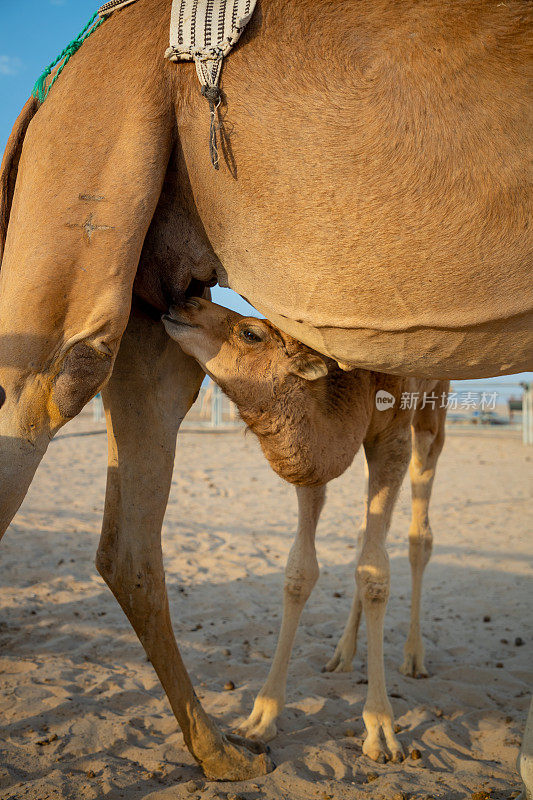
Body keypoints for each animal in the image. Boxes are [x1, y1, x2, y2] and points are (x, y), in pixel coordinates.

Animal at [162, 300, 444, 764]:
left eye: (251, 332)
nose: (182, 303)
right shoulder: (320, 463)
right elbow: (301, 570)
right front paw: (260, 717)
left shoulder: (394, 434)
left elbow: (375, 575)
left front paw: (381, 729)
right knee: (365, 535)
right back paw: (342, 654)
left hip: (433, 411)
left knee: (417, 533)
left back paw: (414, 657)